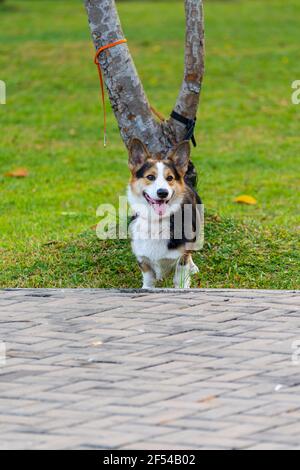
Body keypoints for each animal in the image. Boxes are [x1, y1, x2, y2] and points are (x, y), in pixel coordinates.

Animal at [127, 138, 203, 288]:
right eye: (150, 177)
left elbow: (180, 279)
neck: (156, 221)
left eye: (170, 178)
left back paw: (193, 267)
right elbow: (148, 280)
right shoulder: (143, 259)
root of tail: (186, 181)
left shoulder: (181, 260)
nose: (163, 192)